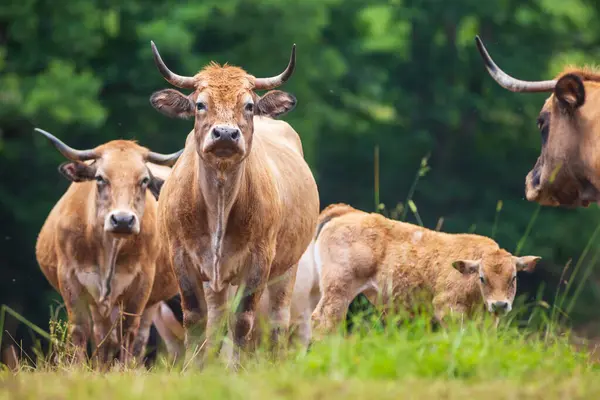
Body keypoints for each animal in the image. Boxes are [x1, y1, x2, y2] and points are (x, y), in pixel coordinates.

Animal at [33, 130, 180, 368]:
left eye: (144, 180)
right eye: (100, 178)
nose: (123, 220)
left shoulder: (142, 282)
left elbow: (129, 330)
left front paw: (123, 369)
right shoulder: (70, 278)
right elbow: (80, 330)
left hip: (151, 302)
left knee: (137, 337)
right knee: (103, 336)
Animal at [148, 41, 322, 368]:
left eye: (249, 106)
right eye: (200, 104)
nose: (226, 134)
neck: (219, 202)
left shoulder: (259, 260)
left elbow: (243, 320)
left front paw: (237, 369)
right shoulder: (183, 257)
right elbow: (196, 319)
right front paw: (194, 368)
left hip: (287, 268)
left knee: (278, 319)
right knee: (216, 319)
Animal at [310, 203, 540, 334]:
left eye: (513, 278)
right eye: (482, 277)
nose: (500, 304)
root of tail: (349, 211)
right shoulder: (447, 307)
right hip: (338, 290)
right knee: (324, 320)